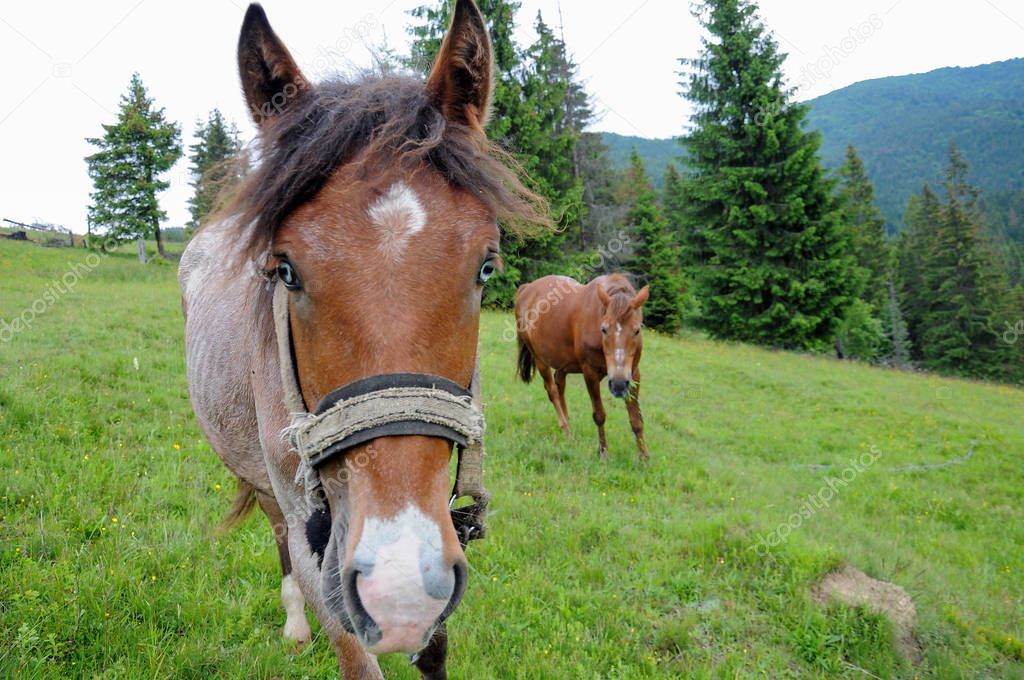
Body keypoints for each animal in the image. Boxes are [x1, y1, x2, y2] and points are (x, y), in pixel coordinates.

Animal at [178, 2, 544, 675]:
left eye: (486, 268)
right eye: (285, 271)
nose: (399, 586)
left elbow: (435, 648)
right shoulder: (320, 543)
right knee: (276, 531)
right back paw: (294, 624)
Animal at [516, 274, 651, 458]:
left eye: (637, 330)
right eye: (604, 329)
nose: (618, 385)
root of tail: (526, 289)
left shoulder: (633, 374)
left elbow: (636, 419)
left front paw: (644, 457)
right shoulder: (590, 373)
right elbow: (599, 415)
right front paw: (603, 452)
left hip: (563, 363)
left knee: (560, 384)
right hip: (539, 358)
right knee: (552, 391)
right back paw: (566, 429)